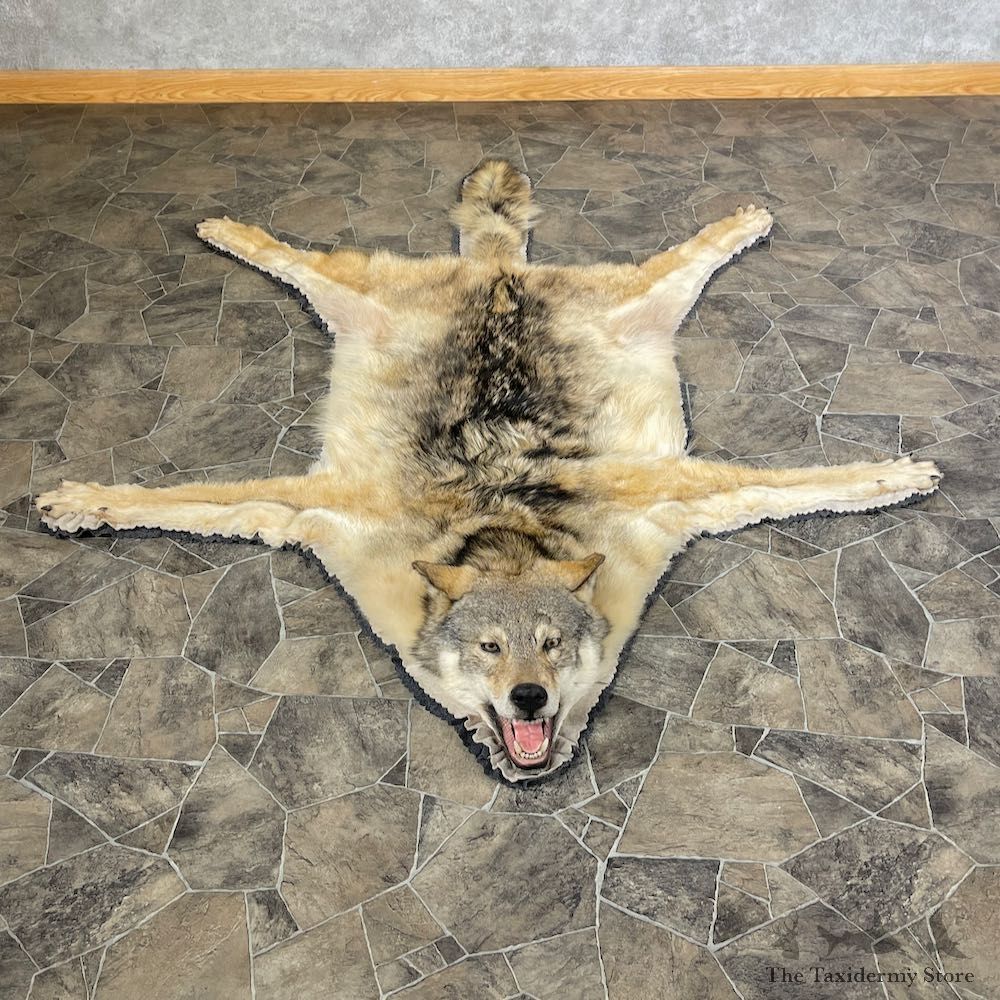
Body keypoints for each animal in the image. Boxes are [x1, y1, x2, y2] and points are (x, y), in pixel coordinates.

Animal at [37, 160, 940, 782]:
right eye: (490, 649)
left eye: (550, 645)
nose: (528, 699)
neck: (500, 529)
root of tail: (496, 269)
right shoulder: (323, 508)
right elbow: (185, 497)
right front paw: (81, 499)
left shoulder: (666, 493)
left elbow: (803, 482)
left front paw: (895, 475)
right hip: (356, 296)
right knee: (291, 255)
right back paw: (226, 228)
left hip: (637, 305)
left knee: (693, 249)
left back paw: (744, 217)